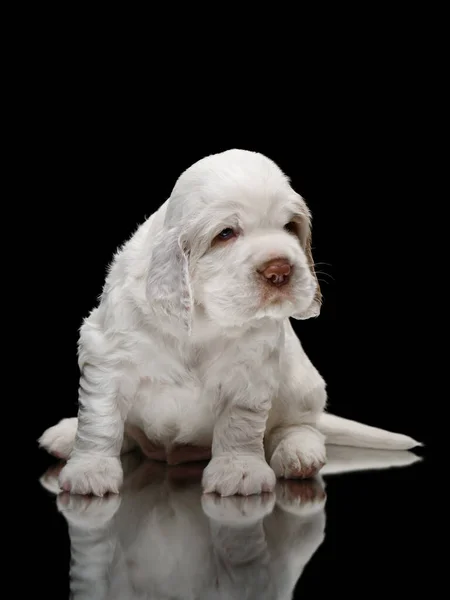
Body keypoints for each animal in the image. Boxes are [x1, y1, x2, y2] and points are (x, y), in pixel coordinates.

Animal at [38, 150, 422, 496]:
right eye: (225, 234)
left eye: (289, 227)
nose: (280, 270)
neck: (204, 318)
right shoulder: (108, 356)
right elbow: (100, 418)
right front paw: (89, 471)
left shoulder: (251, 368)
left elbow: (240, 423)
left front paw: (239, 471)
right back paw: (66, 435)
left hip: (301, 382)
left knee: (301, 425)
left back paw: (299, 454)